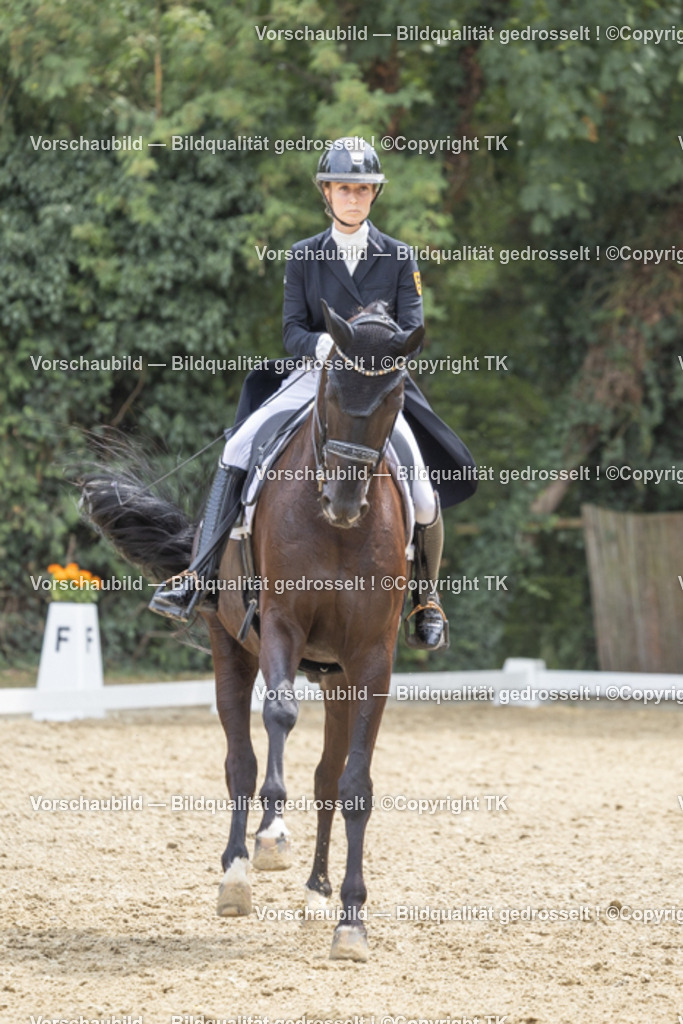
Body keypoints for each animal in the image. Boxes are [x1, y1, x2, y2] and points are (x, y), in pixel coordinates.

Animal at [79, 299, 423, 962]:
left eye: (395, 395)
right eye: (330, 387)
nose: (345, 502)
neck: (337, 532)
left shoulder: (372, 658)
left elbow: (354, 784)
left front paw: (351, 920)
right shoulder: (281, 627)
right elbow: (279, 718)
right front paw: (271, 839)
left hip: (336, 677)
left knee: (325, 779)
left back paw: (316, 896)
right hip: (229, 647)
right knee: (239, 758)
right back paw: (237, 875)